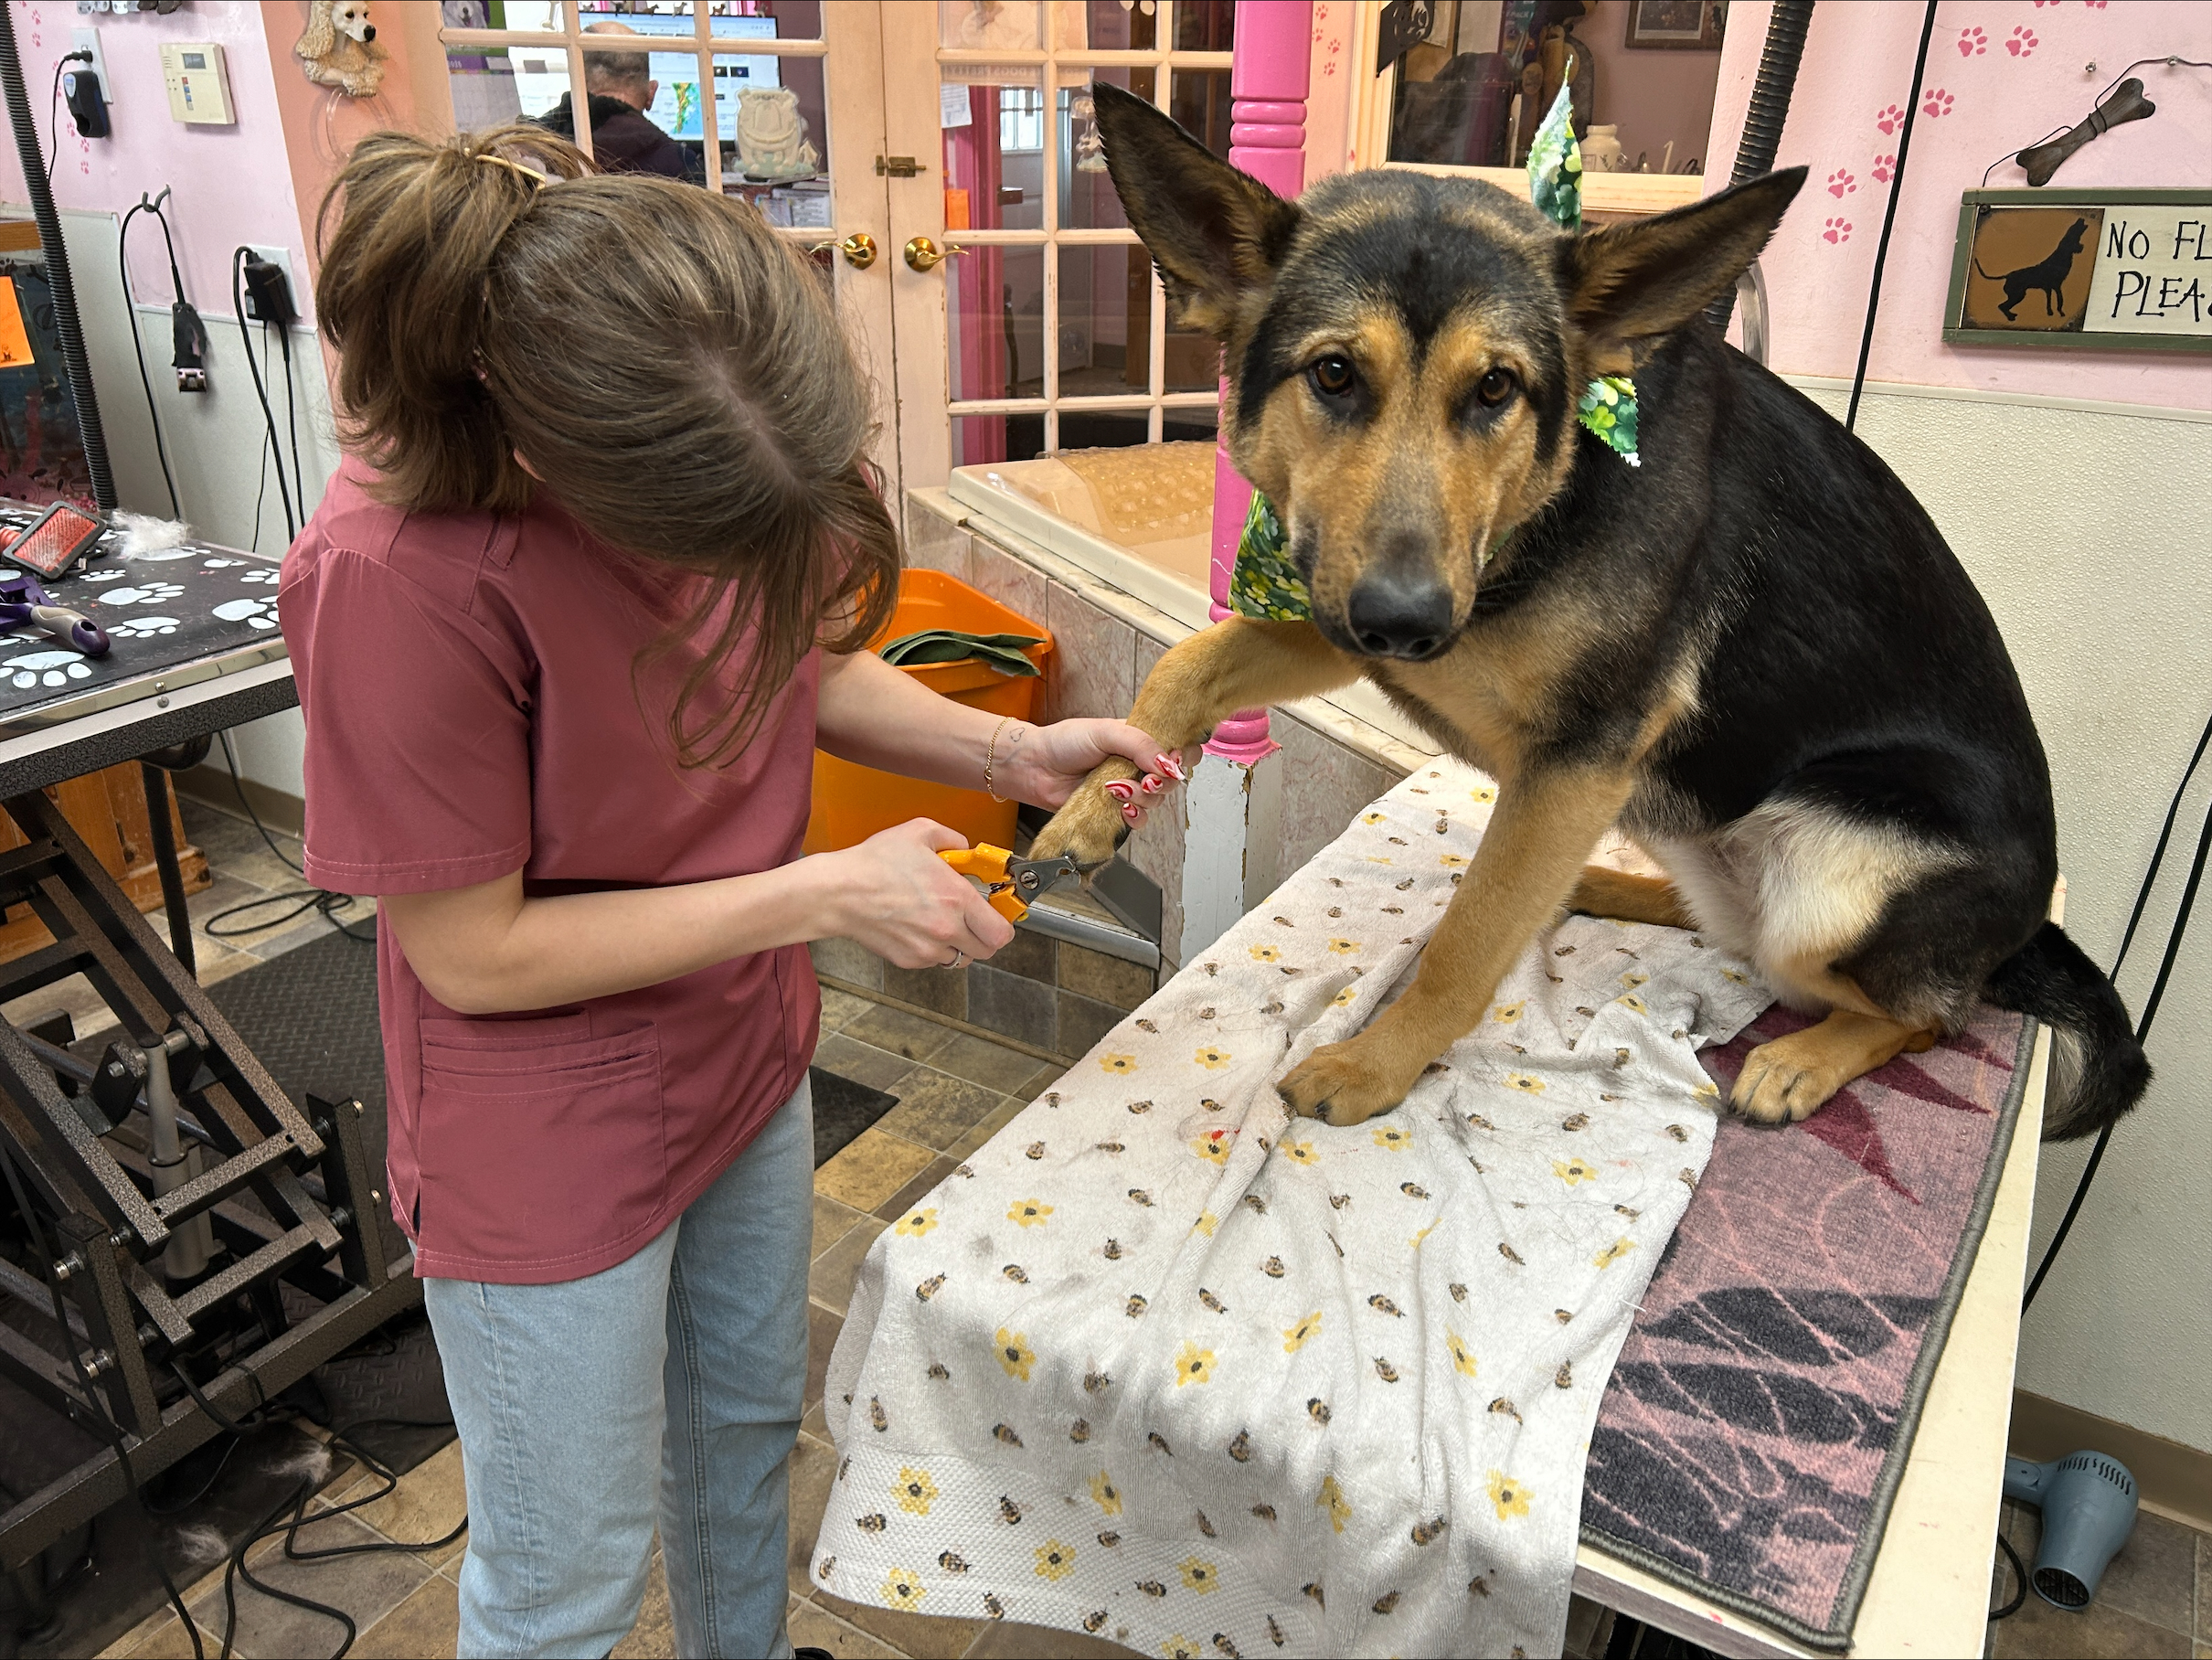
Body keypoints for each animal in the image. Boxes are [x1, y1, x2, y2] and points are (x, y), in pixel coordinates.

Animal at [1030, 80, 2141, 1142]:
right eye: (1334, 373)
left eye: (1496, 389)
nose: (1406, 622)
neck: (1552, 499)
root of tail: (2028, 929)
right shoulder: (1342, 622)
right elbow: (1185, 667)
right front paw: (1093, 806)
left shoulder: (1575, 755)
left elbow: (1469, 937)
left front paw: (1378, 1065)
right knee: (1736, 932)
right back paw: (1604, 888)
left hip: (1831, 876)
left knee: (1924, 1013)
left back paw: (1802, 1059)